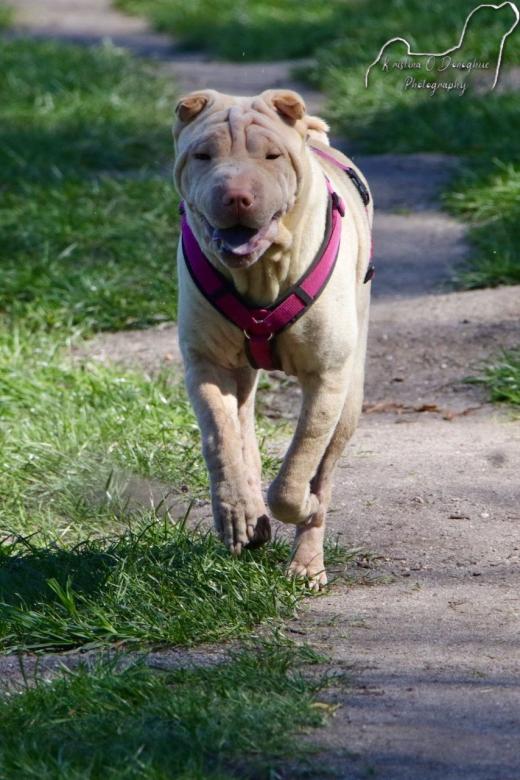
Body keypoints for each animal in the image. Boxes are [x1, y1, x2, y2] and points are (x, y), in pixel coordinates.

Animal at [173, 89, 373, 588]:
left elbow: (299, 467)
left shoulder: (327, 379)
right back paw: (249, 517)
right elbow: (221, 442)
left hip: (351, 399)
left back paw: (307, 562)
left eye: (271, 155)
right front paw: (238, 512)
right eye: (203, 155)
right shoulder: (207, 366)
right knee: (242, 433)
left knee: (324, 470)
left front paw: (301, 506)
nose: (236, 196)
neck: (262, 273)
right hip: (241, 377)